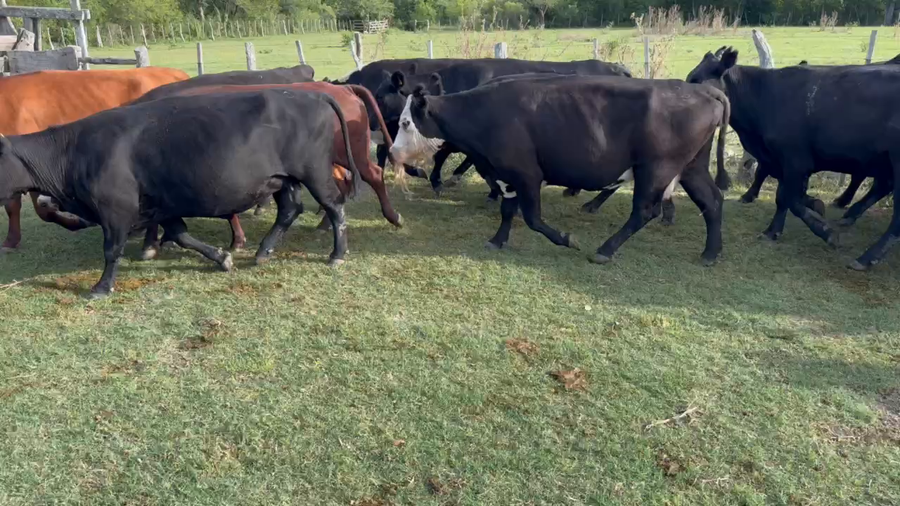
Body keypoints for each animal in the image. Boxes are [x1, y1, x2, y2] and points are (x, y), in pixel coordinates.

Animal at [0, 89, 359, 297]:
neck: (73, 151)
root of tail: (310, 96)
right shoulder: (161, 206)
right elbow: (180, 234)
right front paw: (221, 258)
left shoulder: (115, 210)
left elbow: (112, 250)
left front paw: (101, 287)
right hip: (282, 179)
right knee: (290, 209)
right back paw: (263, 251)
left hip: (313, 172)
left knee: (334, 206)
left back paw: (337, 254)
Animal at [390, 76, 729, 265]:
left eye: (406, 122)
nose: (392, 152)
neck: (484, 114)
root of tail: (702, 91)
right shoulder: (507, 175)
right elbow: (507, 211)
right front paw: (497, 240)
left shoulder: (527, 174)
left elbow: (533, 218)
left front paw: (566, 239)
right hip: (692, 167)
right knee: (712, 201)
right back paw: (710, 254)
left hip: (657, 168)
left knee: (645, 211)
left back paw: (605, 250)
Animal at [686, 48, 900, 270]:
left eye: (696, 80)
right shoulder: (780, 161)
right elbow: (782, 197)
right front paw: (774, 230)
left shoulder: (795, 161)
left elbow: (791, 199)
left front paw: (826, 231)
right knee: (882, 187)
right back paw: (849, 217)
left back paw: (866, 257)